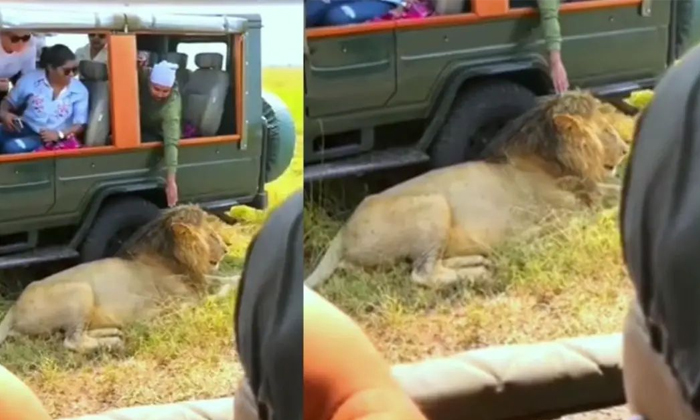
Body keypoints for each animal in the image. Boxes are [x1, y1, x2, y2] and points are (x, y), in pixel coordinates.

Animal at [0, 205, 237, 352]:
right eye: (212, 235)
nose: (227, 248)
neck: (173, 258)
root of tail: (13, 308)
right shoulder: (183, 300)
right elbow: (215, 296)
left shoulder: (200, 282)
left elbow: (228, 279)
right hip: (80, 290)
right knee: (72, 341)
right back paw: (113, 342)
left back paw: (113, 330)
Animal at [306, 91, 636, 288]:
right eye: (607, 130)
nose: (624, 150)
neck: (555, 162)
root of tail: (342, 231)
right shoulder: (558, 211)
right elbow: (593, 214)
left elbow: (614, 191)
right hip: (433, 205)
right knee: (422, 274)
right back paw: (477, 273)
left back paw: (477, 260)